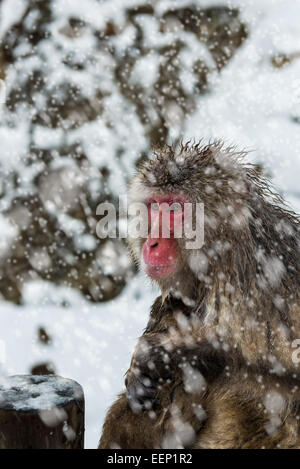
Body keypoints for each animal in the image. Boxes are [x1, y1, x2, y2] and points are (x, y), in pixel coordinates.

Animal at [99, 141, 300, 448]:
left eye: (174, 209)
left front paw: (165, 356)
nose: (152, 244)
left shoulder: (263, 287)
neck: (224, 259)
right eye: (154, 206)